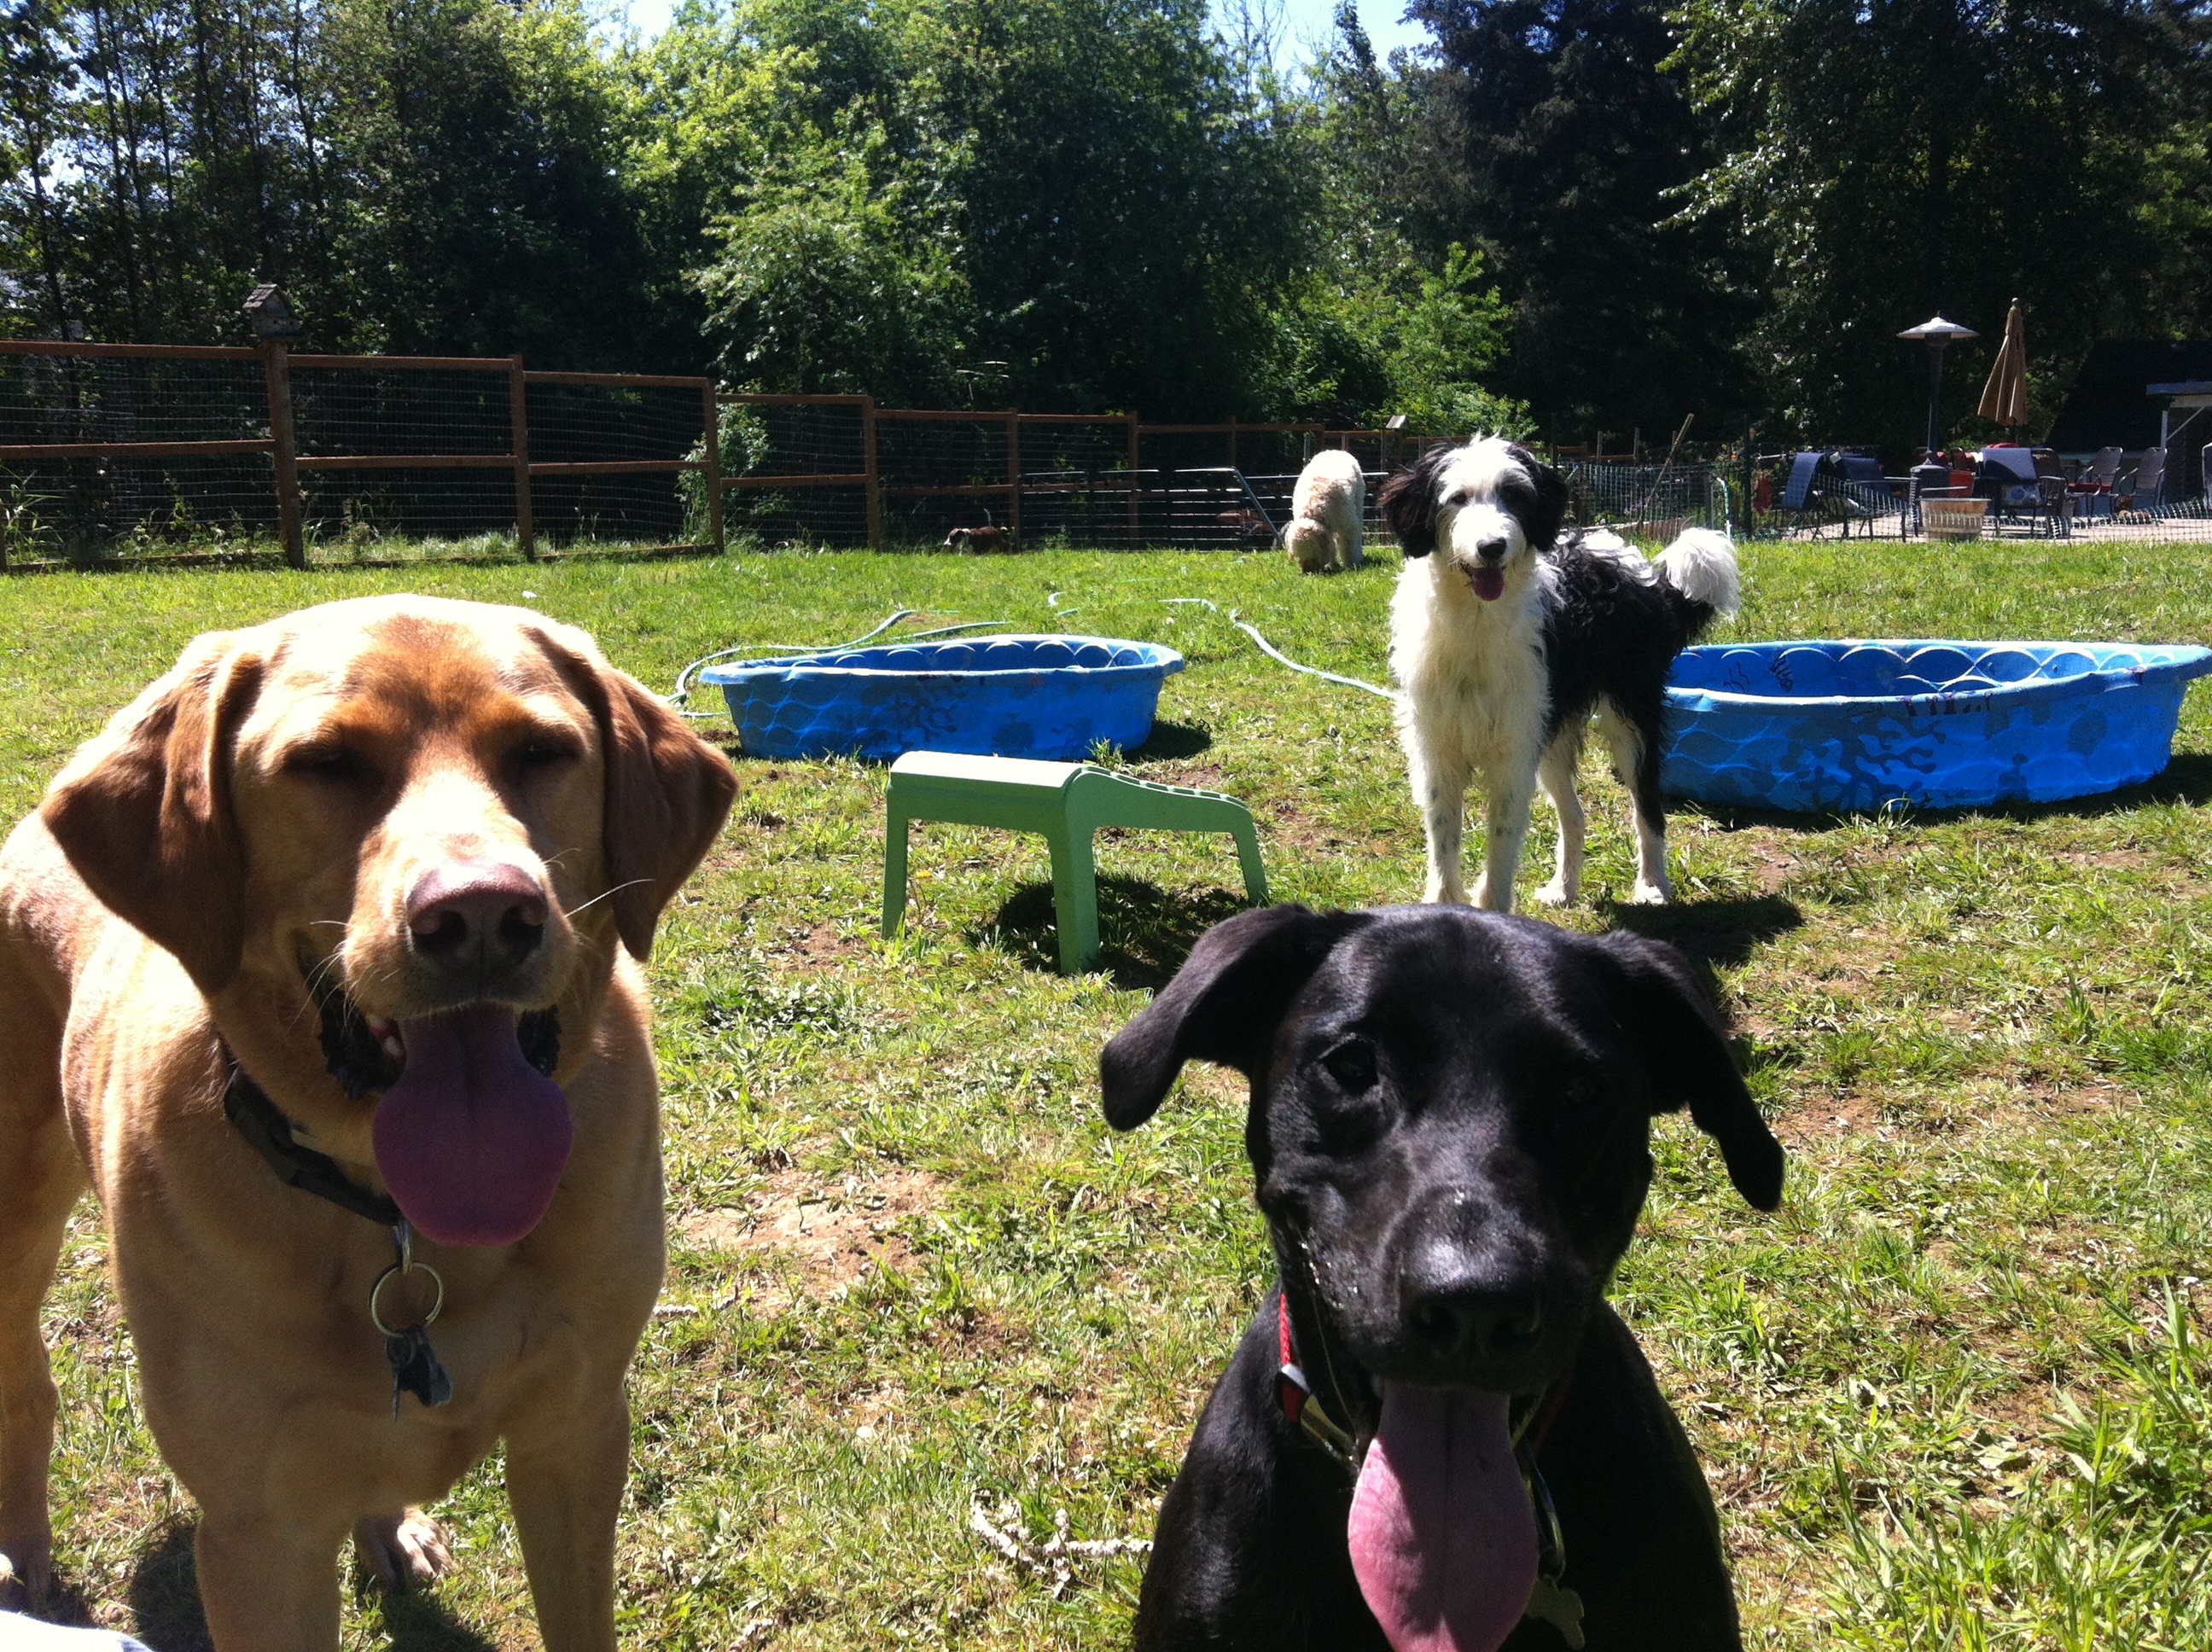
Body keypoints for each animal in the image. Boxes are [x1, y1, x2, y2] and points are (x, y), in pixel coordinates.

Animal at [0, 596, 736, 1647]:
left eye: (541, 751)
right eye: (327, 762)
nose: (482, 915)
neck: (401, 1222)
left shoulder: (577, 1431)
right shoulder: (259, 1537)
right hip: (14, 1224)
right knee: (26, 1385)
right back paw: (23, 1556)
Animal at [1285, 449, 1367, 572]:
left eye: (1312, 555)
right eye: (1299, 557)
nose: (1308, 572)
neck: (1314, 507)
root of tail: (1334, 450)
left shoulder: (1348, 525)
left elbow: (1349, 546)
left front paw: (1351, 565)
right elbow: (1331, 546)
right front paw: (1333, 563)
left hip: (1358, 504)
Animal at [1379, 439, 1739, 912]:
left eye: (1514, 496)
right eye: (1456, 498)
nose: (1492, 546)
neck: (1475, 621)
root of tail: (1644, 573)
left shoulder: (1513, 752)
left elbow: (1502, 840)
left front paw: (1493, 912)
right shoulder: (1437, 748)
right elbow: (1443, 838)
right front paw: (1442, 908)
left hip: (1630, 718)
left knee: (1648, 808)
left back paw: (1652, 884)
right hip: (1552, 733)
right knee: (1575, 815)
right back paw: (1564, 887)